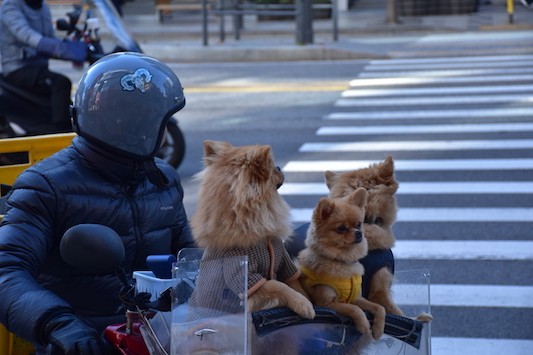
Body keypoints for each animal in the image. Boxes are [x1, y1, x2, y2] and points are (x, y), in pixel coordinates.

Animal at [190, 140, 316, 322]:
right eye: (271, 167)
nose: (279, 167)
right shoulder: (245, 279)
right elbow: (275, 284)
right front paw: (303, 304)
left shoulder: (284, 262)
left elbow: (295, 283)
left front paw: (309, 301)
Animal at [298, 189, 384, 342]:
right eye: (341, 228)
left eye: (359, 225)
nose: (359, 233)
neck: (342, 261)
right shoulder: (326, 304)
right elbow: (354, 309)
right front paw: (364, 325)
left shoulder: (357, 298)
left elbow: (379, 307)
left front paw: (378, 329)